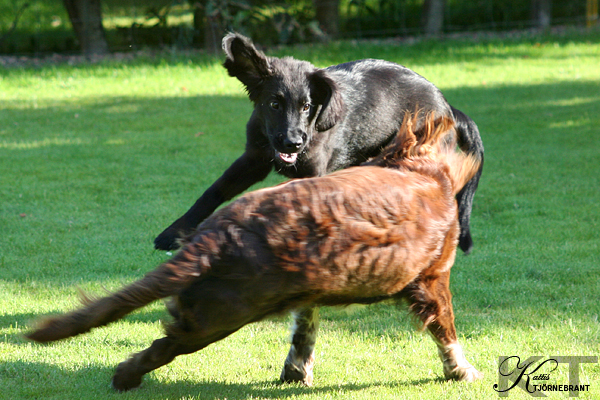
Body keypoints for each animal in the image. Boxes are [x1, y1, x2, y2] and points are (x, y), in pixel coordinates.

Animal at [27, 112, 482, 390]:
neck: (420, 170)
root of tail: (217, 236)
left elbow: (304, 326)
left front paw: (296, 370)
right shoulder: (432, 278)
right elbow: (446, 328)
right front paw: (461, 370)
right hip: (219, 315)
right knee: (163, 347)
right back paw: (125, 378)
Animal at [155, 32, 482, 253]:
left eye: (307, 106)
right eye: (274, 104)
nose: (293, 143)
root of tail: (447, 106)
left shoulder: (311, 172)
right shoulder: (253, 160)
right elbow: (213, 192)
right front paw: (173, 233)